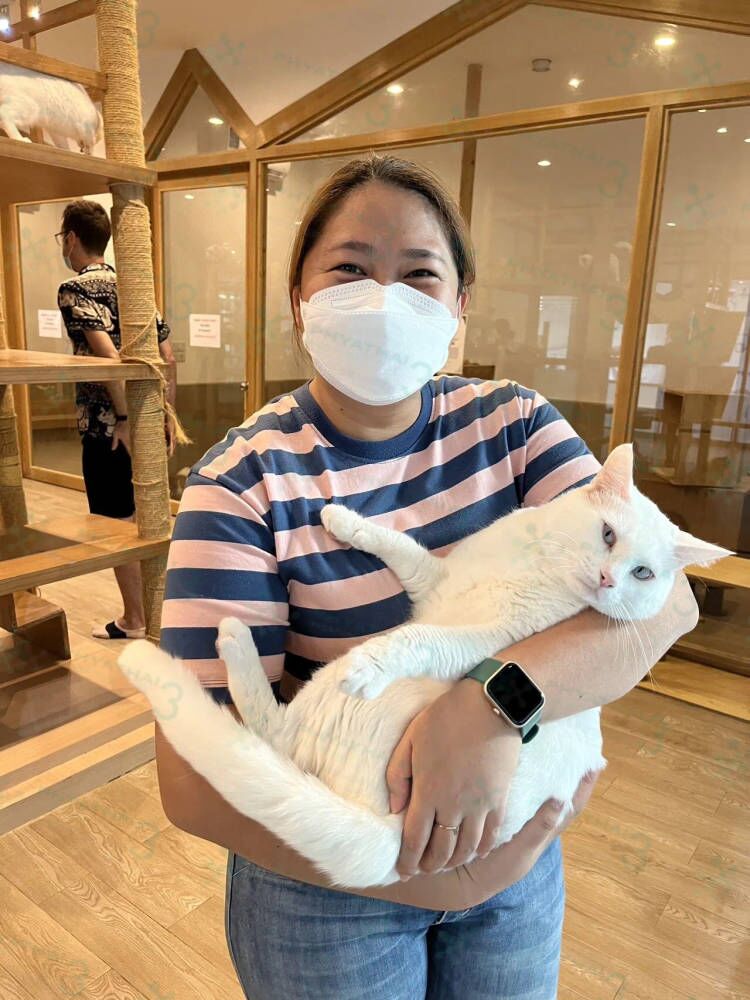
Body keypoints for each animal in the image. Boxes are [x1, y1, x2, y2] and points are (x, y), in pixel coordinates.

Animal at [118, 443, 729, 888]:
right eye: (607, 534)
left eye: (643, 574)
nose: (608, 581)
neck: (537, 567)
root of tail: (392, 839)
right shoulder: (435, 582)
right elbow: (399, 545)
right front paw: (342, 519)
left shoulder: (478, 640)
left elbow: (421, 640)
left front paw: (370, 664)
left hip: (330, 701)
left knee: (270, 730)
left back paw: (234, 637)